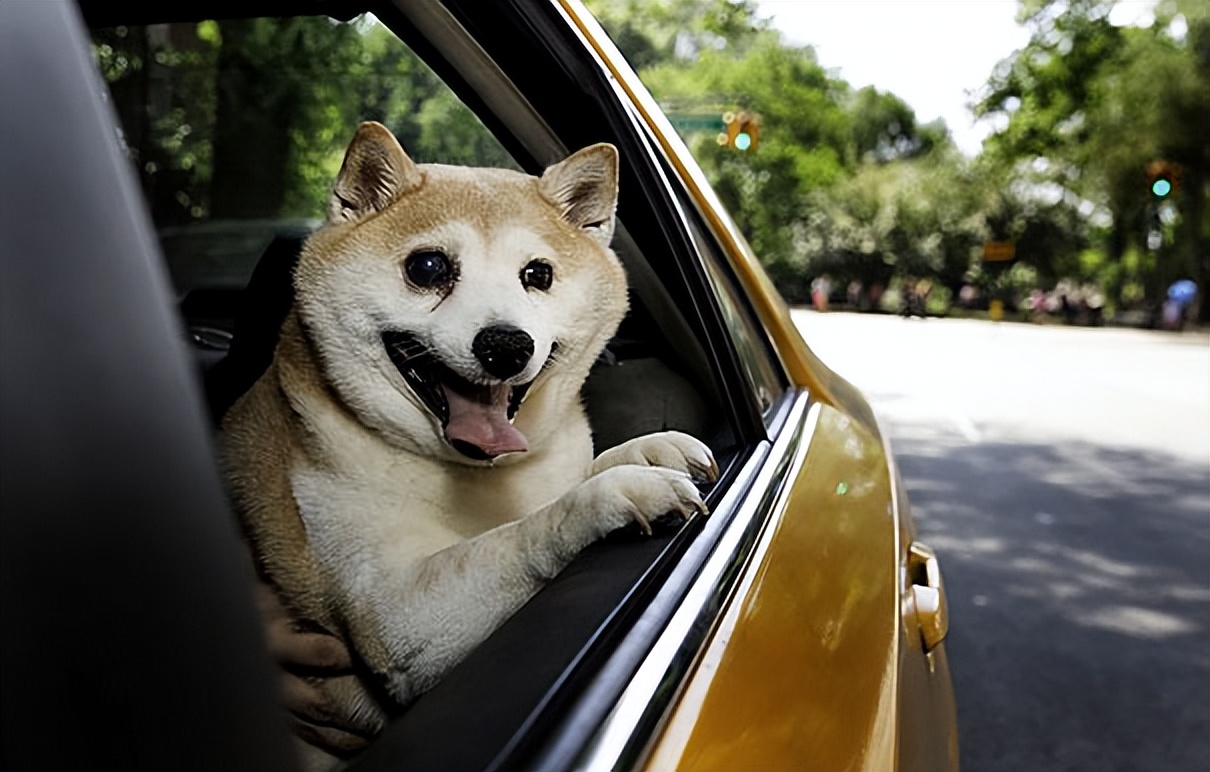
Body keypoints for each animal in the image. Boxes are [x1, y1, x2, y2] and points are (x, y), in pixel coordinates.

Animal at [220, 121, 716, 769]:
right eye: (428, 267)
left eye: (538, 275)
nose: (506, 345)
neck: (482, 474)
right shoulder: (399, 618)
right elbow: (526, 530)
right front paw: (618, 492)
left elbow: (582, 468)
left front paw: (649, 450)